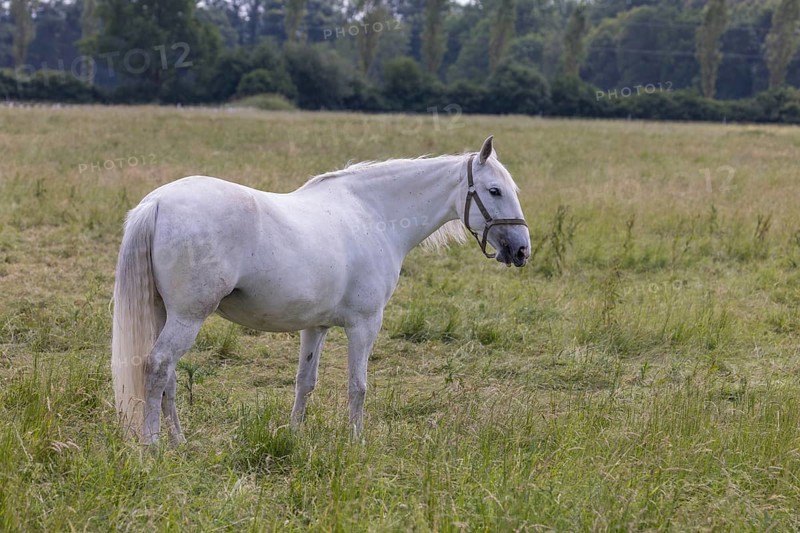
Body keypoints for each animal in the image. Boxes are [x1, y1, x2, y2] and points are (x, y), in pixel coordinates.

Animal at [111, 135, 531, 445]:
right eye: (494, 190)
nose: (522, 250)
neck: (373, 215)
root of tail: (157, 202)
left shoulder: (316, 327)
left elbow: (304, 382)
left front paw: (294, 436)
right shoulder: (364, 325)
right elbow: (358, 386)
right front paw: (357, 442)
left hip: (166, 314)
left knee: (168, 377)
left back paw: (179, 441)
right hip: (187, 317)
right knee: (158, 366)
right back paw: (153, 445)